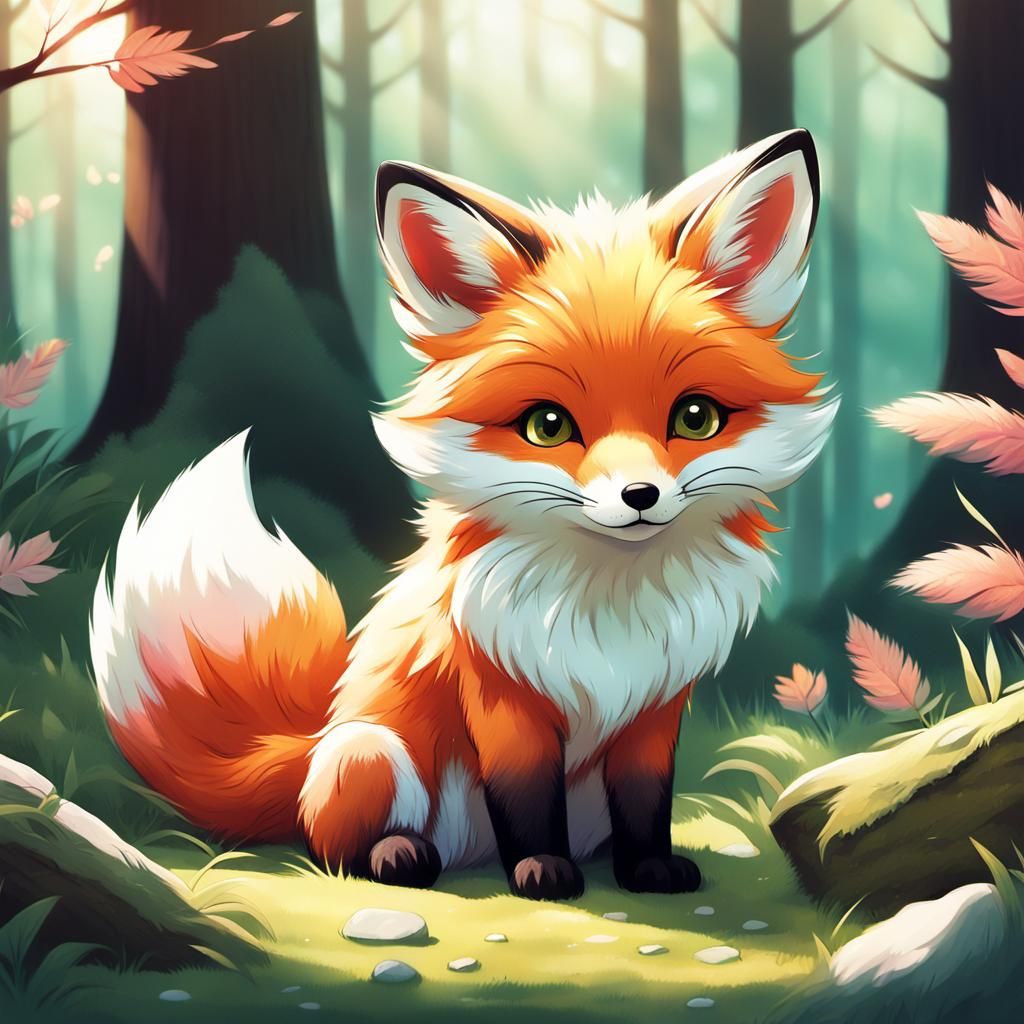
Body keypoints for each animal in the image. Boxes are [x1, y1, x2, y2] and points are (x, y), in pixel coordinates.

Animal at [90, 128, 836, 901]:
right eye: (547, 426)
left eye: (695, 417)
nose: (640, 496)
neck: (609, 612)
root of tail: (313, 741)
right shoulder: (500, 693)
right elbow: (525, 794)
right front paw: (541, 871)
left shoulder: (654, 707)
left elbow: (647, 797)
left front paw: (648, 868)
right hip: (371, 754)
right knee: (334, 844)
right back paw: (399, 855)